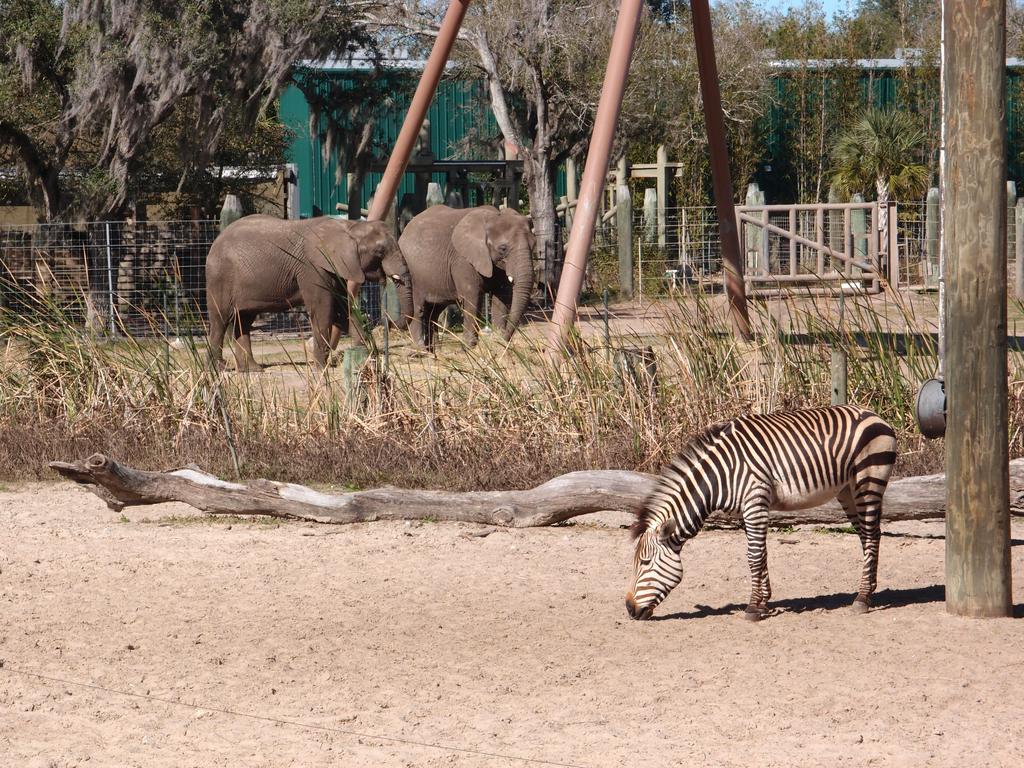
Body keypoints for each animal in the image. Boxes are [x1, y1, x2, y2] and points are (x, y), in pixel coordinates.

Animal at [203, 215, 411, 370]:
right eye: (379, 251)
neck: (349, 227)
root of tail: (215, 241)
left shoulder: (334, 268)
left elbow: (344, 309)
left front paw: (365, 357)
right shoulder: (312, 267)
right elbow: (323, 310)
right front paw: (320, 367)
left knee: (244, 320)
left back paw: (252, 370)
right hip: (220, 276)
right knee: (220, 319)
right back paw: (219, 368)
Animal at [397, 204, 536, 348]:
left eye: (534, 245)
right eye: (503, 248)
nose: (506, 339)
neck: (492, 217)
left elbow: (501, 297)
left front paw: (499, 343)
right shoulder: (463, 261)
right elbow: (472, 299)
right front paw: (471, 347)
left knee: (434, 312)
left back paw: (434, 349)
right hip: (411, 273)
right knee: (418, 310)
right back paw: (421, 349)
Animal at [622, 405, 897, 622]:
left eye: (645, 562)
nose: (629, 609)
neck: (719, 477)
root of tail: (874, 415)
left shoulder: (755, 500)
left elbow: (754, 556)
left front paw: (753, 607)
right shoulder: (749, 508)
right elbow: (761, 554)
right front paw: (764, 602)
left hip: (868, 480)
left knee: (871, 536)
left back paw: (862, 599)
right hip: (847, 490)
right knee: (867, 536)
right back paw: (869, 591)